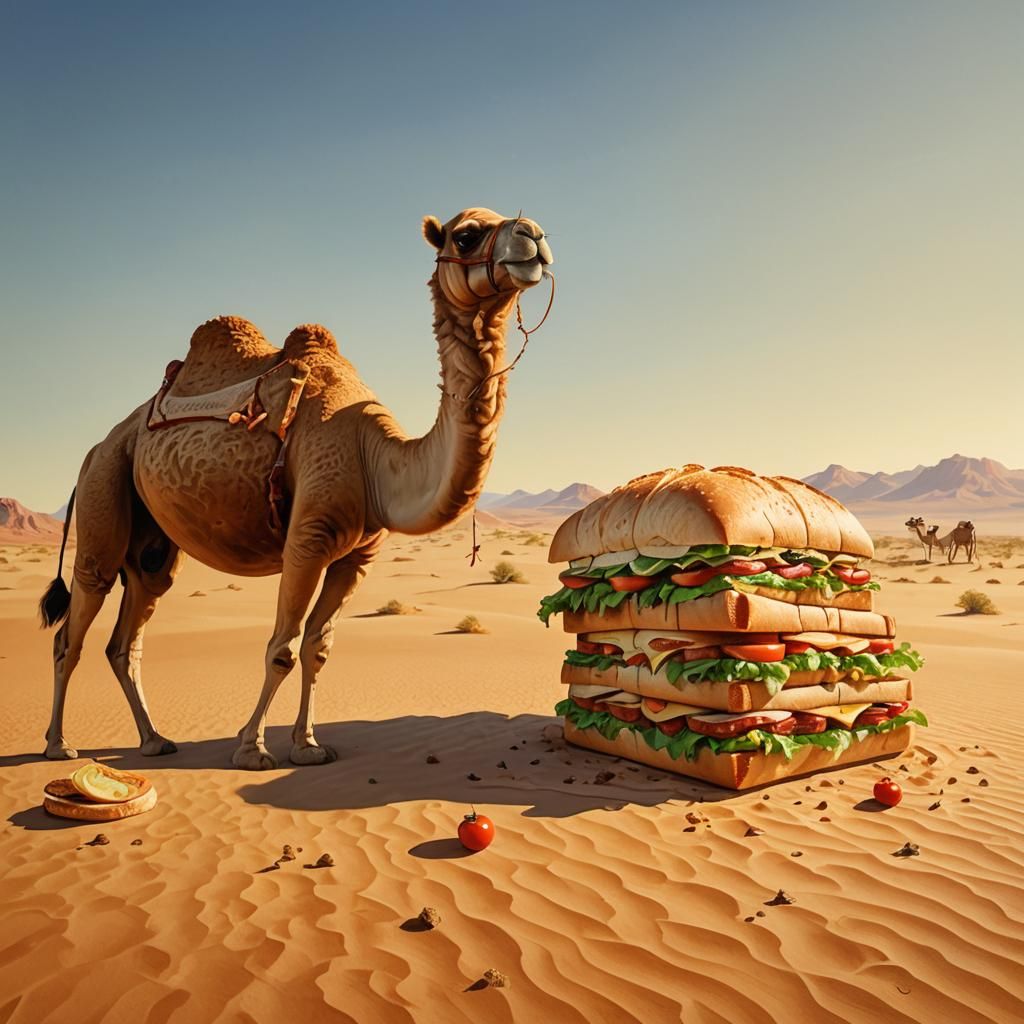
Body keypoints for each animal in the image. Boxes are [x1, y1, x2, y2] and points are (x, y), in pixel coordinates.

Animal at [39, 207, 553, 770]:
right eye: (466, 236)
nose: (533, 237)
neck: (374, 456)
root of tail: (97, 446)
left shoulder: (356, 557)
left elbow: (317, 648)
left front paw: (307, 746)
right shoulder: (308, 539)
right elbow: (282, 648)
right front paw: (251, 749)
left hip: (150, 544)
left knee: (128, 634)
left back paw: (154, 740)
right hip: (103, 484)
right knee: (75, 622)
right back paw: (58, 745)